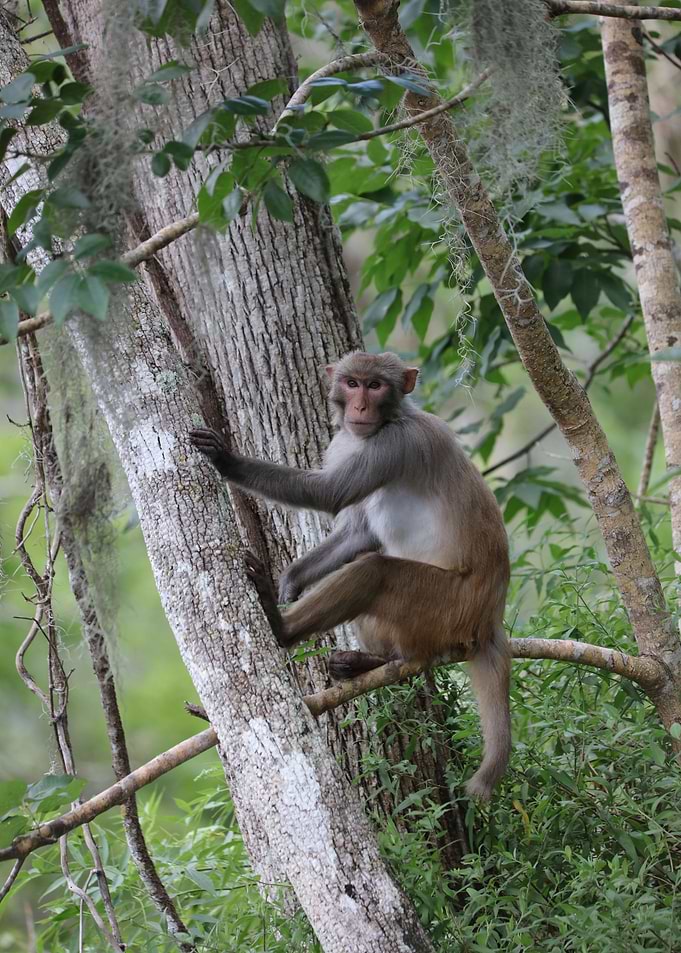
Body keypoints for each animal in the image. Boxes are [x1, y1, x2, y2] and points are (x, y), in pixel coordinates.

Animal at [189, 351, 511, 800]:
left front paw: (226, 460)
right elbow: (357, 533)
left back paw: (281, 627)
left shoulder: (397, 445)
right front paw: (290, 580)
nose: (359, 407)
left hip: (448, 604)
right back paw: (374, 661)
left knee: (374, 573)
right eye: (353, 382)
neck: (387, 421)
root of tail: (491, 617)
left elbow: (330, 495)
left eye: (376, 386)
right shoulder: (343, 442)